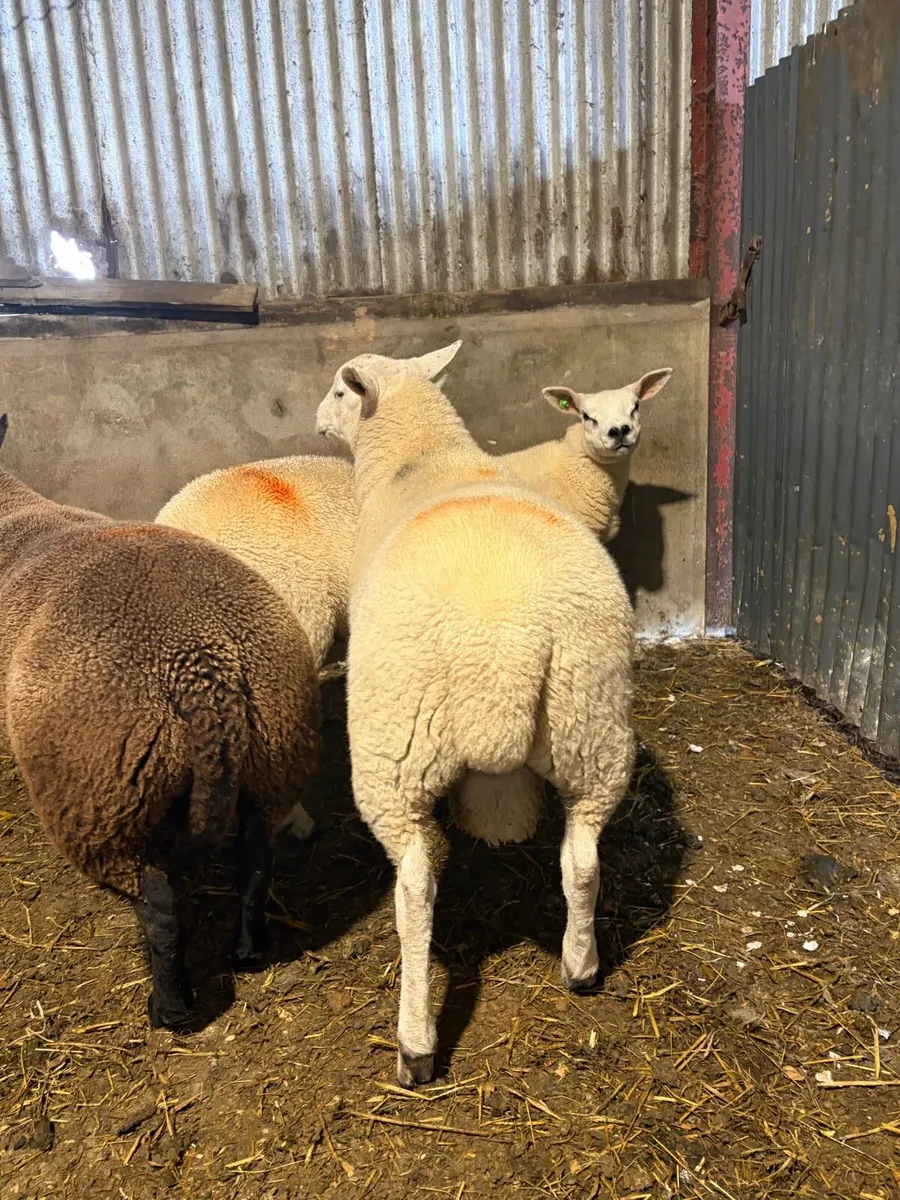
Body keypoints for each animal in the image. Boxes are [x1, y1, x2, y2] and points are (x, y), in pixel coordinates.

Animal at [0, 418, 319, 1029]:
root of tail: (203, 660)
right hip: (276, 748)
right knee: (256, 862)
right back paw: (248, 950)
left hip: (103, 799)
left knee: (161, 908)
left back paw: (170, 1009)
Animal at [315, 366, 635, 1087]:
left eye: (340, 393)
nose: (318, 423)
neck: (421, 456)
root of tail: (505, 643)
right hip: (593, 722)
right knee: (582, 856)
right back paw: (581, 966)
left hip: (393, 749)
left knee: (414, 889)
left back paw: (415, 1045)